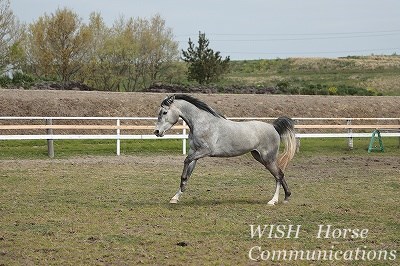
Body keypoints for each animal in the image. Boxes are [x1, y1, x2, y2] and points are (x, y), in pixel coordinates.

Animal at [154, 94, 296, 205]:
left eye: (164, 112)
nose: (156, 132)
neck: (203, 123)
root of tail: (273, 127)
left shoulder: (204, 151)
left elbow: (185, 161)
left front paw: (180, 189)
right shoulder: (194, 152)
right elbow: (187, 173)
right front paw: (175, 197)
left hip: (268, 158)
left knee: (278, 176)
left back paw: (273, 201)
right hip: (259, 157)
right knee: (280, 173)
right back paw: (286, 197)